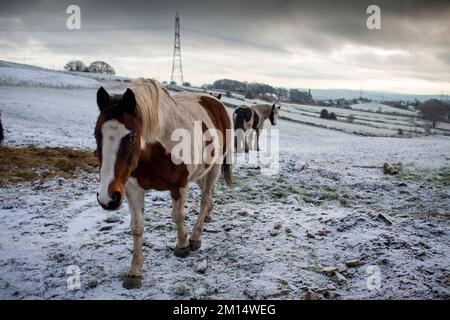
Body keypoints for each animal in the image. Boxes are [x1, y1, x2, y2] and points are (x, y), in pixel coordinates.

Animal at [94, 79, 232, 288]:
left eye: (131, 137)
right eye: (96, 135)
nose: (107, 198)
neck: (155, 149)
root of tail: (215, 100)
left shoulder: (179, 185)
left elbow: (178, 216)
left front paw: (182, 246)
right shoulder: (133, 189)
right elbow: (137, 227)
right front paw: (134, 272)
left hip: (214, 168)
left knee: (205, 199)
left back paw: (196, 237)